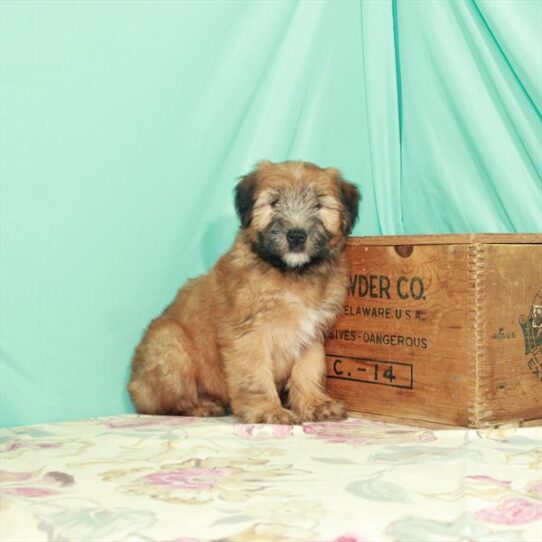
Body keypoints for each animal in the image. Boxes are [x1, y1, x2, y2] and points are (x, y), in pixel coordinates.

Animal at [127, 160, 362, 424]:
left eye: (318, 205)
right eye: (274, 203)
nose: (296, 236)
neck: (290, 273)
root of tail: (134, 384)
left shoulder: (311, 334)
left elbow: (308, 370)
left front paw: (315, 404)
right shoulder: (249, 333)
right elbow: (255, 375)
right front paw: (268, 410)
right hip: (169, 342)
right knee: (162, 403)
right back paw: (201, 406)